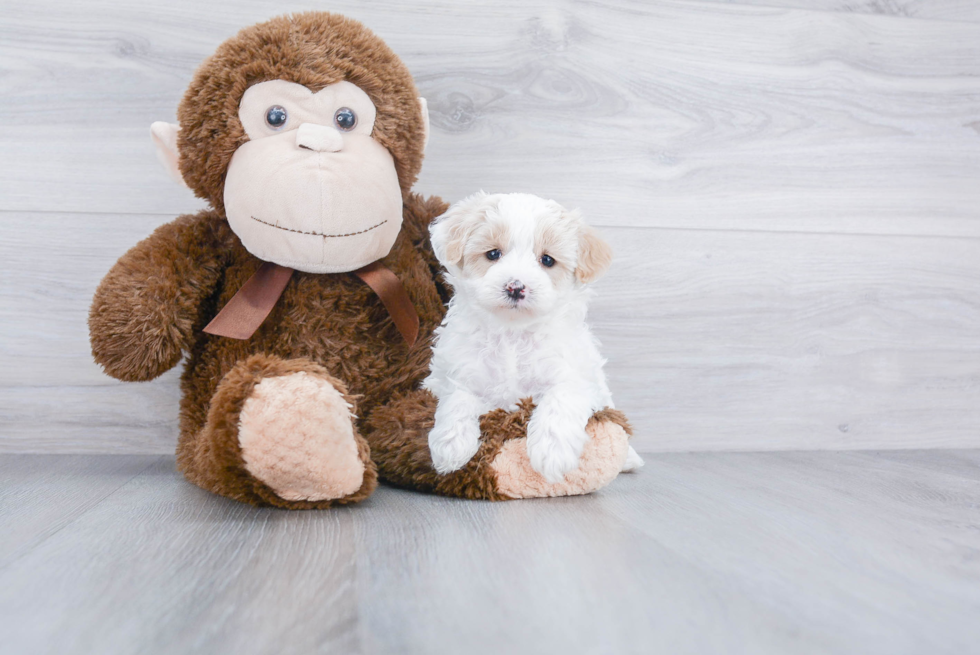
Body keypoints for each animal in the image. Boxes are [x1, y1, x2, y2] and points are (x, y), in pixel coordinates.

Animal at [424, 190, 644, 482]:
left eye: (547, 260)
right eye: (493, 254)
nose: (515, 287)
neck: (513, 334)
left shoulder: (574, 377)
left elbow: (560, 400)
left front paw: (552, 453)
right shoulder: (458, 373)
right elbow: (457, 399)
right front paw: (450, 446)